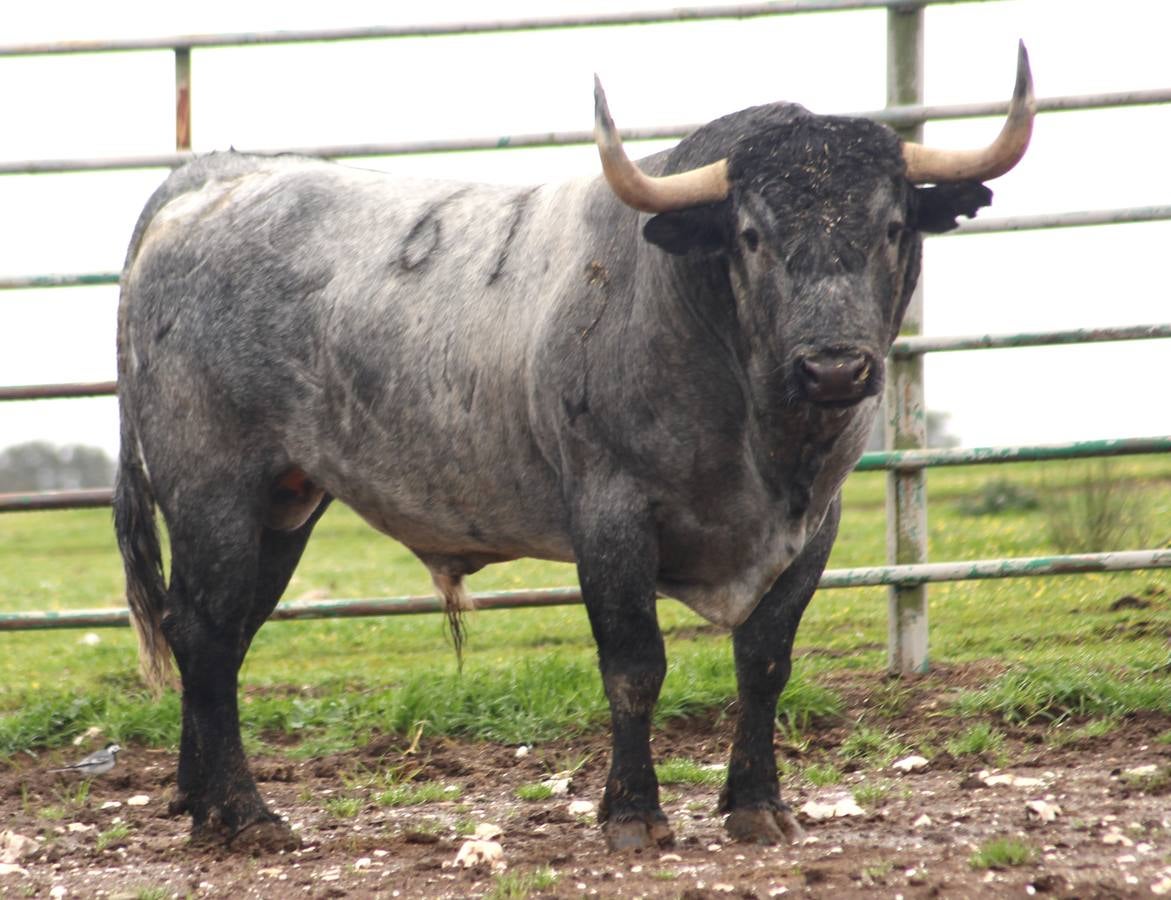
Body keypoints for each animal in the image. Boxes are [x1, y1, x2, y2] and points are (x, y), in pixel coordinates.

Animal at [116, 49, 1035, 852]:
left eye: (892, 225)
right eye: (750, 235)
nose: (834, 366)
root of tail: (212, 181)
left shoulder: (815, 528)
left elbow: (764, 662)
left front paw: (755, 804)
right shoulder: (610, 516)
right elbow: (633, 666)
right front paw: (632, 813)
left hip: (285, 501)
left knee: (223, 635)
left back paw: (199, 800)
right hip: (213, 493)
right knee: (204, 631)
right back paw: (242, 815)